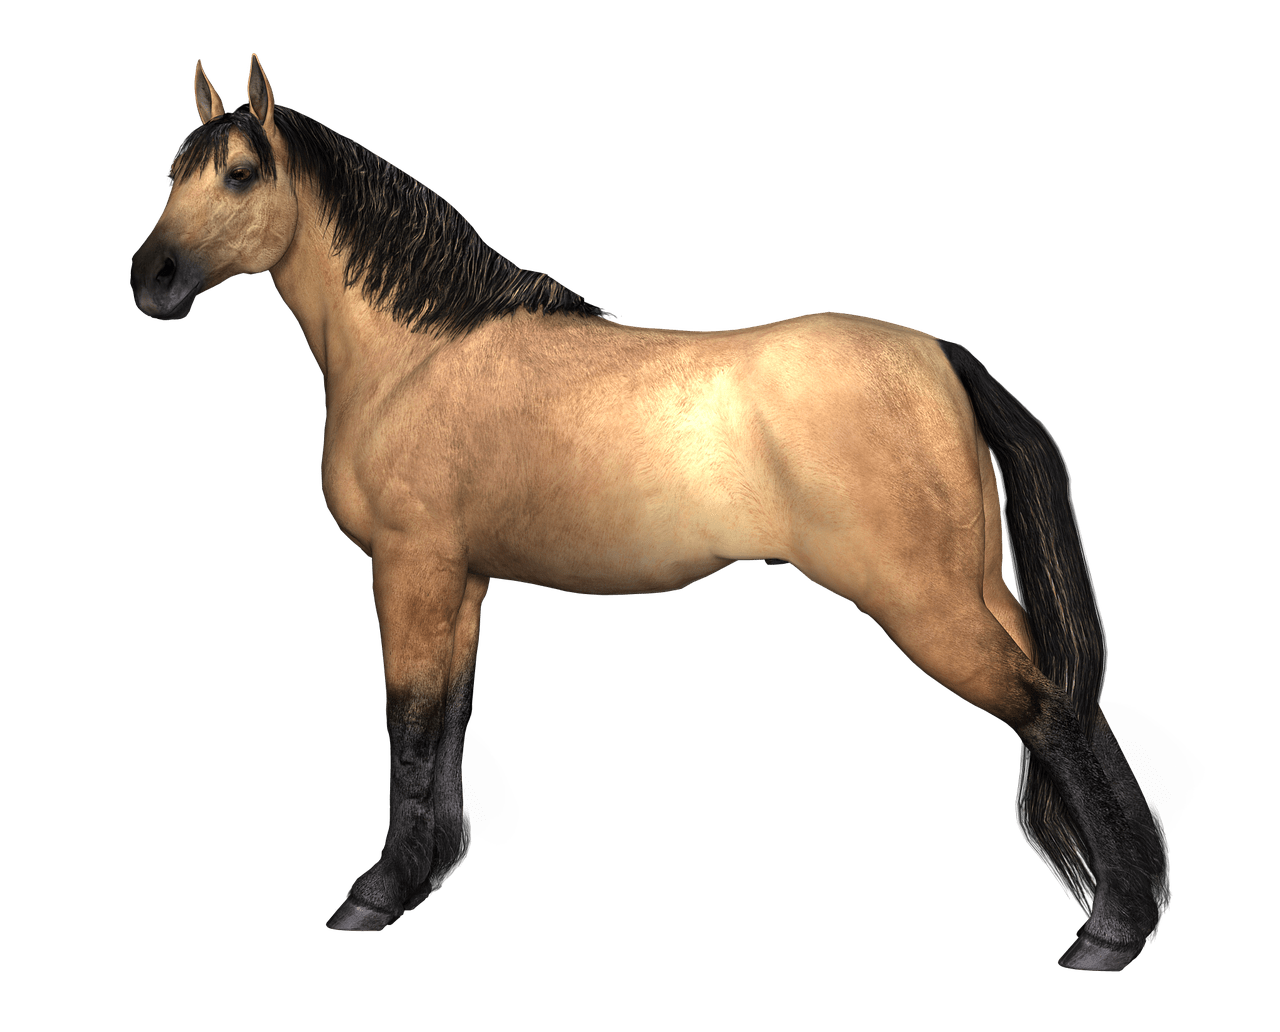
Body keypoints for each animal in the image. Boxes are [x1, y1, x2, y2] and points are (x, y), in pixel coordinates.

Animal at [129, 53, 1202, 971]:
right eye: (174, 171)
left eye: (239, 173)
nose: (150, 279)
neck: (421, 355)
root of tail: (938, 353)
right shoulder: (463, 581)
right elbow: (449, 721)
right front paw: (430, 875)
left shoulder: (410, 567)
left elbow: (409, 724)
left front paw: (377, 895)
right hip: (978, 593)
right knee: (1075, 705)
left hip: (925, 606)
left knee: (1053, 716)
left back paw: (1108, 935)